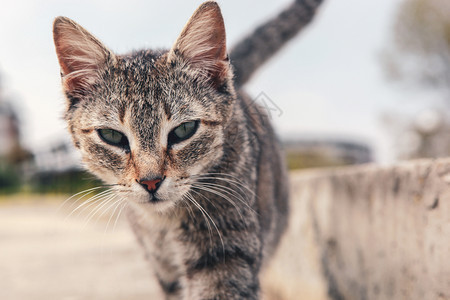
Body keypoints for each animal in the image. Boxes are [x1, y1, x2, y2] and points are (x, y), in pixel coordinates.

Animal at [52, 1, 324, 298]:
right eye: (112, 136)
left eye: (184, 130)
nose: (150, 181)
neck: (164, 225)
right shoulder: (166, 270)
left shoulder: (225, 254)